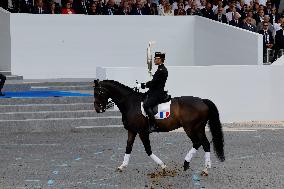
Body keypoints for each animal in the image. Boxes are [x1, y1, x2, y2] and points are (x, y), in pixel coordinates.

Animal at [93, 78, 224, 176]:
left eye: (98, 92)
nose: (98, 109)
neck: (130, 103)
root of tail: (202, 101)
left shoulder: (142, 132)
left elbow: (148, 150)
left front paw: (163, 166)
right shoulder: (132, 130)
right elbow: (128, 147)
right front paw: (122, 166)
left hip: (190, 128)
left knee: (197, 142)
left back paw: (187, 164)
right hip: (199, 128)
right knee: (205, 144)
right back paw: (205, 169)